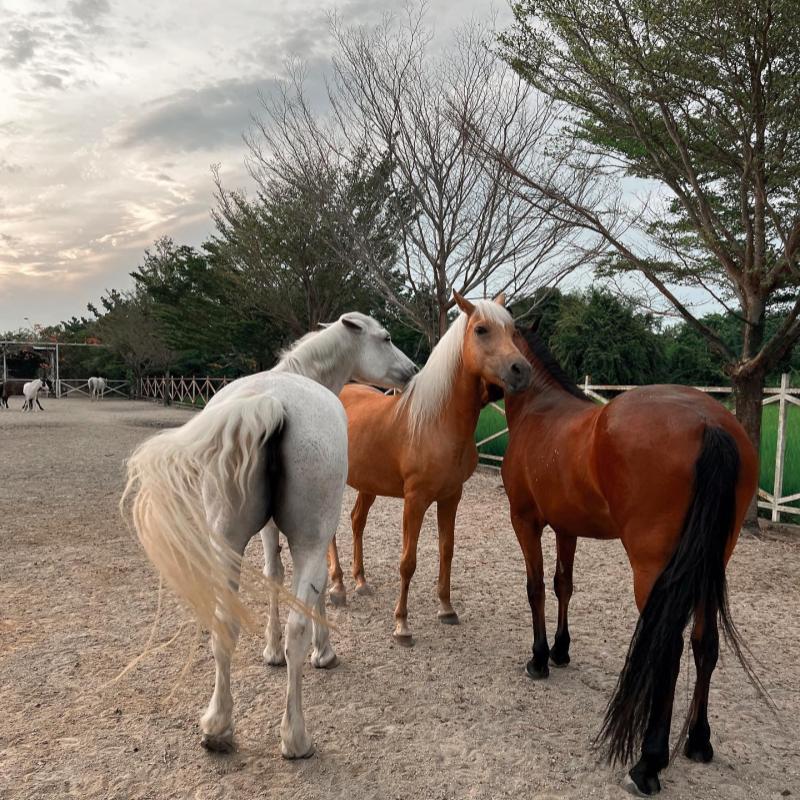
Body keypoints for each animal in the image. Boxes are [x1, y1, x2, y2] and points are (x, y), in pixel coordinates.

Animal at [123, 312, 416, 758]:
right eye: (385, 338)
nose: (412, 370)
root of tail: (272, 403)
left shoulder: (266, 530)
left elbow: (274, 575)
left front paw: (270, 652)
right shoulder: (316, 536)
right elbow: (312, 591)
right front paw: (323, 652)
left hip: (226, 541)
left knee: (224, 621)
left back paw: (218, 727)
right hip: (305, 538)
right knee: (297, 624)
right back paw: (296, 737)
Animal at [324, 293, 532, 646]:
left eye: (512, 329)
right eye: (481, 329)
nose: (522, 370)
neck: (437, 422)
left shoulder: (451, 496)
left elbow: (446, 550)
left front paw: (446, 609)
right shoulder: (415, 500)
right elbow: (408, 562)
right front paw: (402, 625)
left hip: (368, 484)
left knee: (356, 521)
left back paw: (360, 582)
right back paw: (337, 587)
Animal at [500, 325, 761, 796]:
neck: (540, 409)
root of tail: (710, 423)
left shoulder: (525, 521)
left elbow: (535, 588)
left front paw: (540, 659)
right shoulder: (567, 527)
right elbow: (563, 585)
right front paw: (561, 651)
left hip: (654, 570)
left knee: (668, 649)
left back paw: (648, 763)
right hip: (709, 567)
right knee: (705, 643)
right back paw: (699, 742)